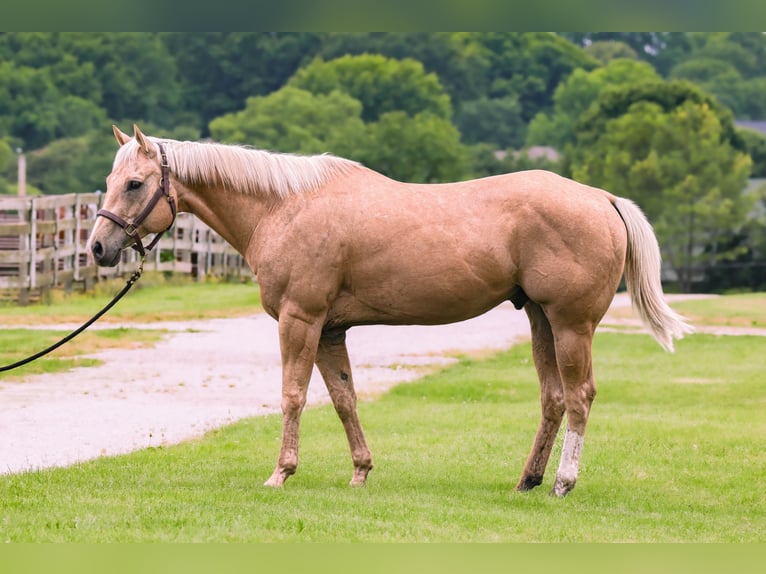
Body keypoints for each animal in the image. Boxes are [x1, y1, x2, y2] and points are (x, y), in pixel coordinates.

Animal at [89, 124, 692, 497]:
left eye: (135, 183)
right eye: (109, 182)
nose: (97, 248)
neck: (285, 206)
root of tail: (601, 198)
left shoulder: (301, 320)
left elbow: (292, 395)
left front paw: (281, 473)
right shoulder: (331, 330)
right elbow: (344, 399)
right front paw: (360, 472)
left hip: (570, 324)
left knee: (581, 397)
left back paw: (564, 483)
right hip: (540, 319)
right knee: (554, 399)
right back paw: (528, 480)